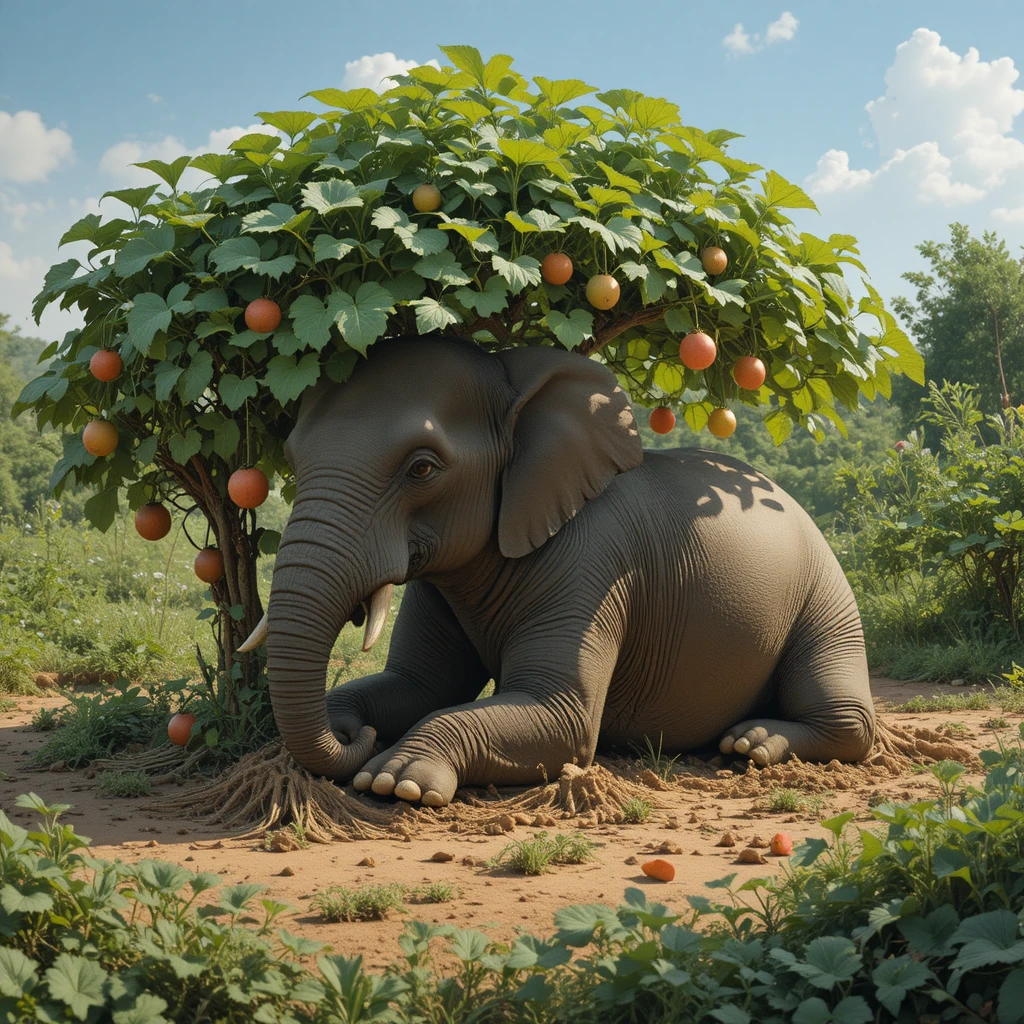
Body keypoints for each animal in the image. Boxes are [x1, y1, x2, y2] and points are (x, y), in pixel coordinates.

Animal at [240, 336, 874, 808]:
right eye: (291, 458)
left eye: (422, 468)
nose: (353, 740)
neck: (513, 382)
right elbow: (418, 686)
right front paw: (354, 725)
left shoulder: (595, 565)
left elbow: (562, 718)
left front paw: (397, 780)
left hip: (826, 592)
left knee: (841, 711)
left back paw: (751, 745)